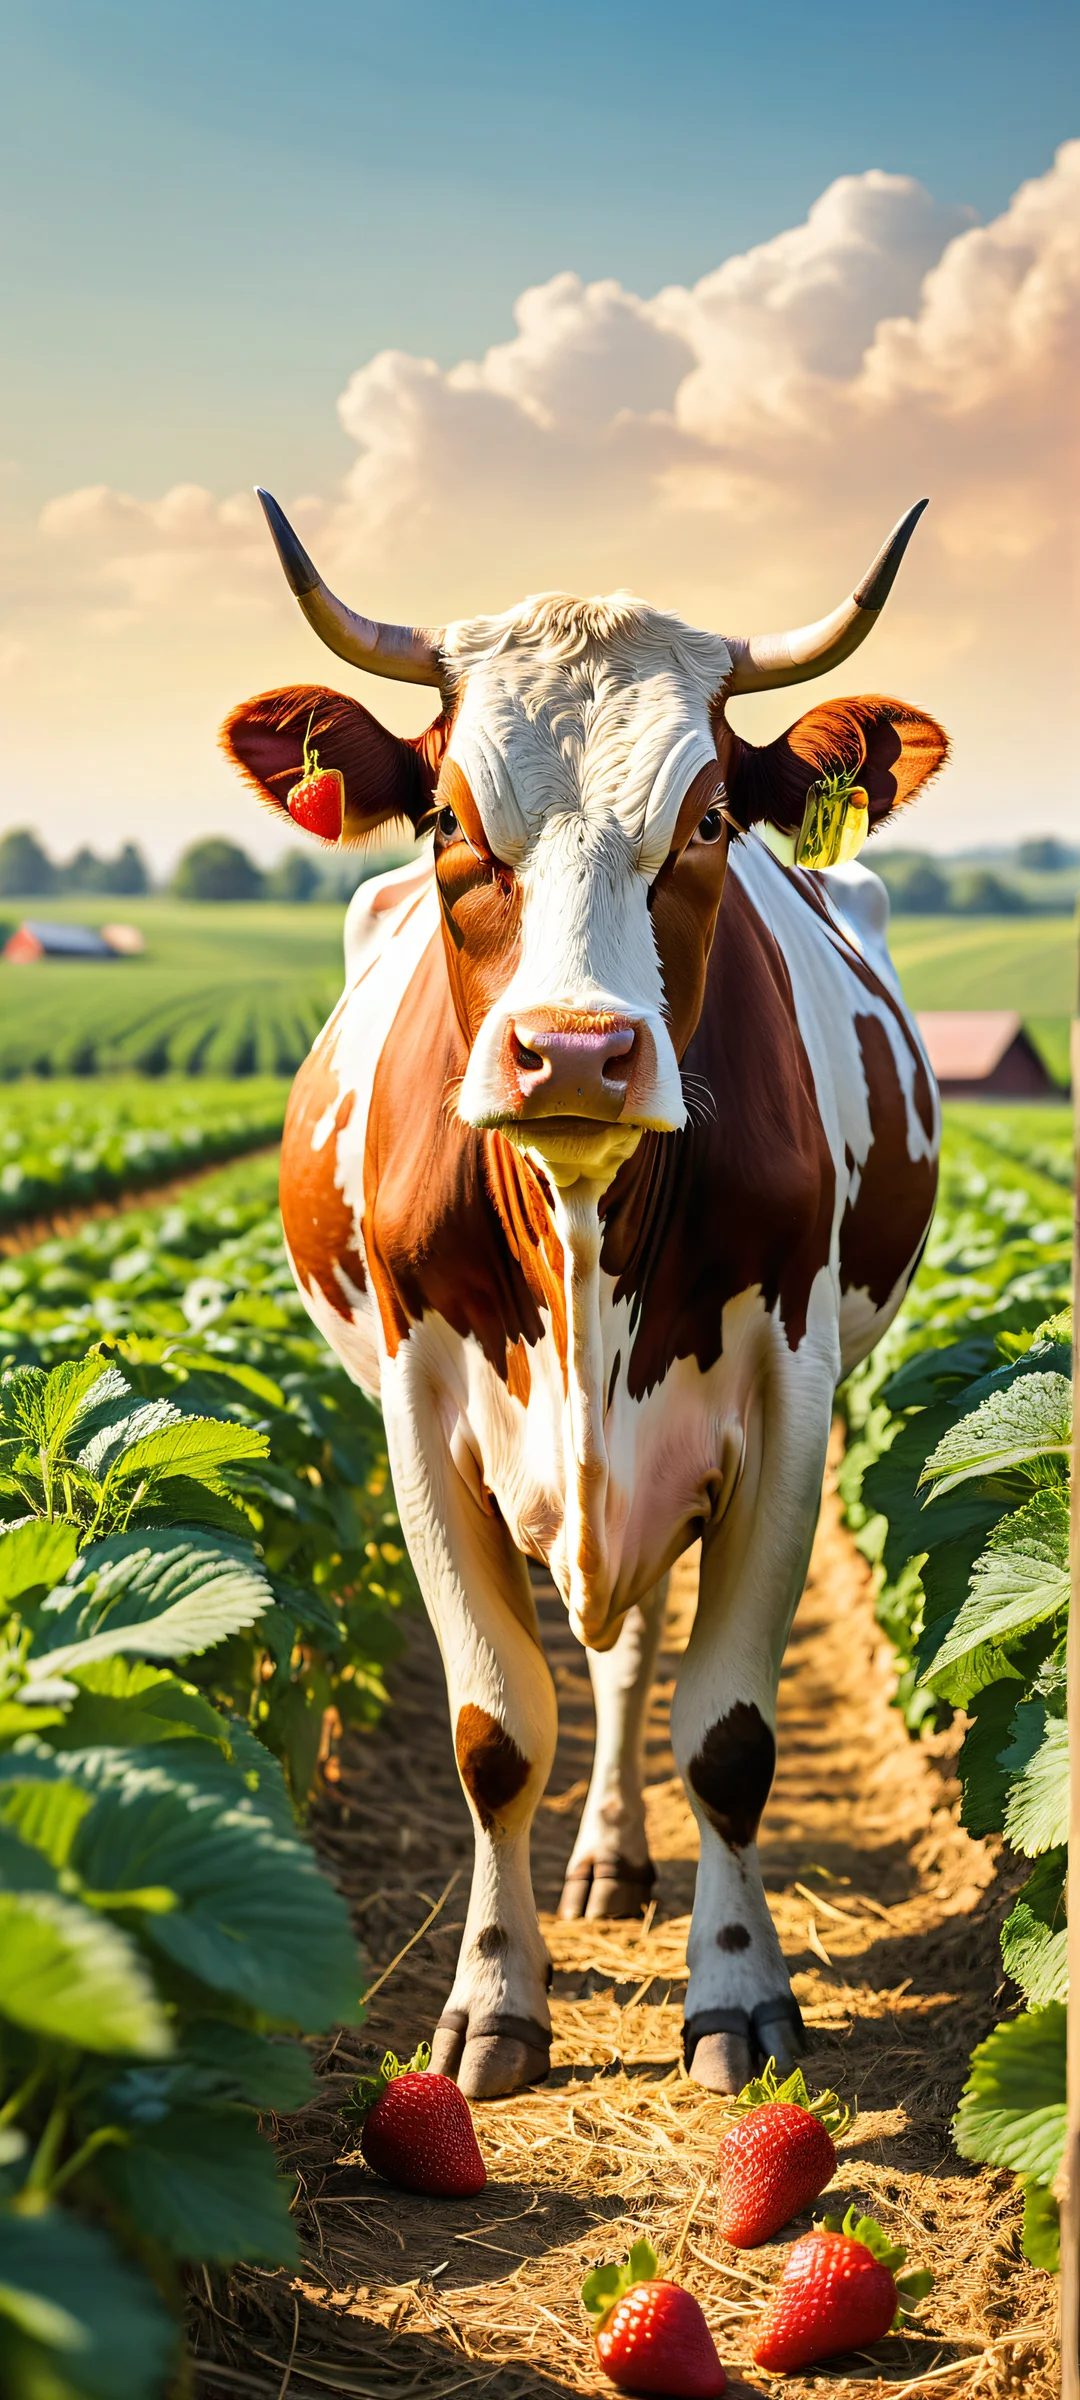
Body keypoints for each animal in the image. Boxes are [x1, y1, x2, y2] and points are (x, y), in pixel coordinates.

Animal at [222, 491, 946, 2101]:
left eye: (708, 821)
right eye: (449, 819)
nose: (572, 1052)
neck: (582, 1222)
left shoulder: (786, 1404)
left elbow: (726, 1732)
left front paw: (738, 1990)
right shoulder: (420, 1416)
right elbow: (497, 1729)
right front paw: (497, 1999)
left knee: (629, 1657)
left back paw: (620, 1855)